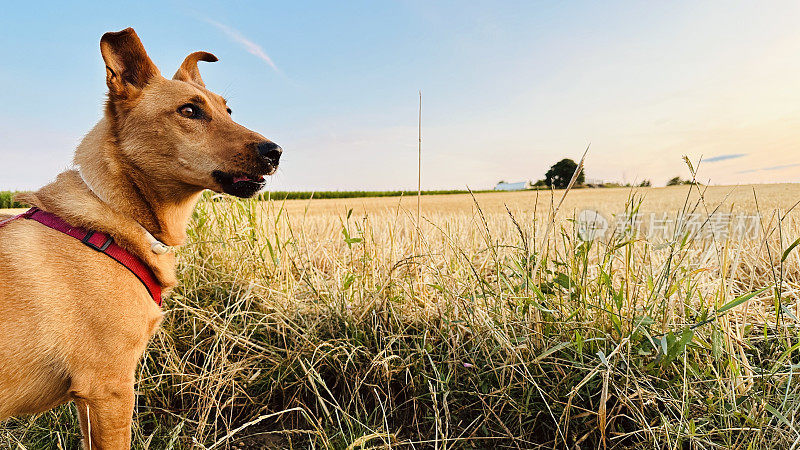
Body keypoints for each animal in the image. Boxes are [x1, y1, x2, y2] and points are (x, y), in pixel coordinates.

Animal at [0, 29, 282, 450]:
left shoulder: (89, 402)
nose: (276, 151)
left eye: (228, 111)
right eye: (189, 111)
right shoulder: (109, 389)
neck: (114, 216)